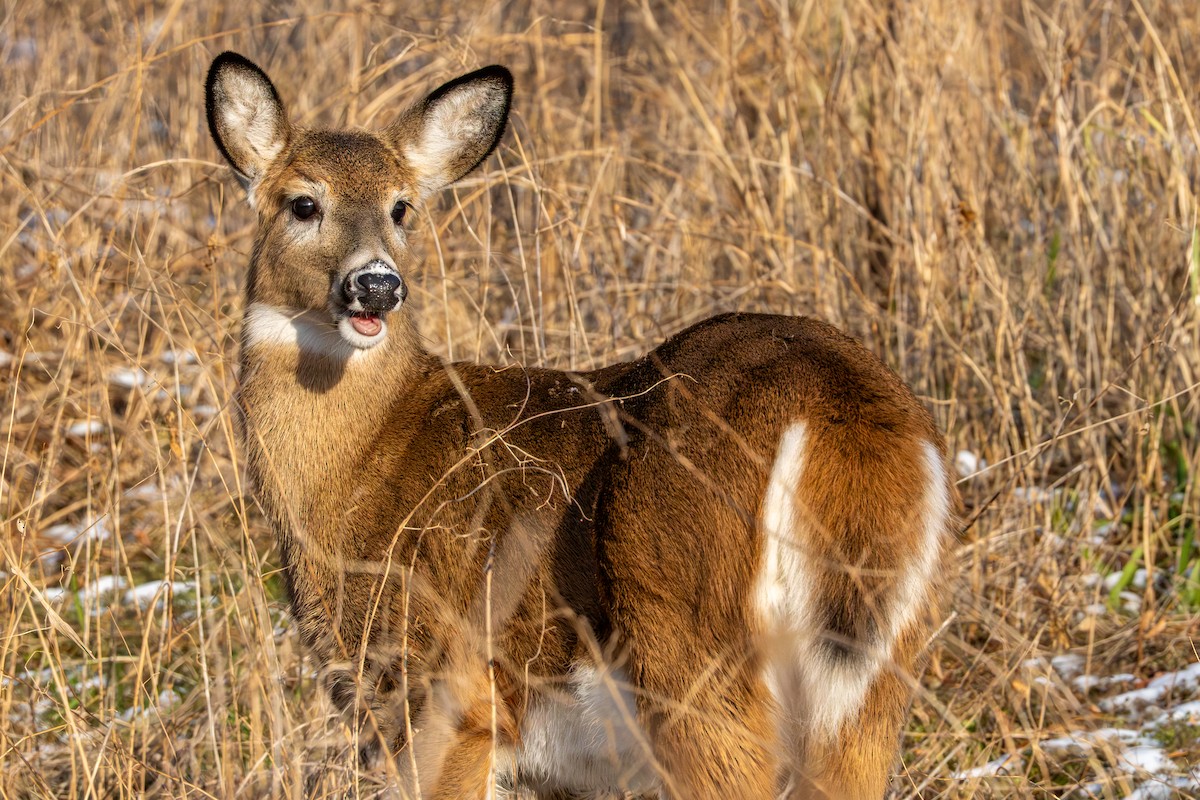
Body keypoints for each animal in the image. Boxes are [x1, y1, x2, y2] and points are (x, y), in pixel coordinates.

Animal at [205, 50, 956, 800]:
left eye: (401, 207)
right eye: (304, 203)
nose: (377, 285)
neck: (360, 465)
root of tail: (835, 403)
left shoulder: (445, 691)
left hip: (691, 649)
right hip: (871, 689)